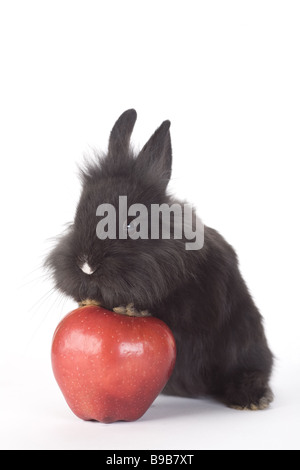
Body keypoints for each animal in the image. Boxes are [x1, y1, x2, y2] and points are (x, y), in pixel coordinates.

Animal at [45, 110, 274, 412]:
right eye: (76, 217)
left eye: (131, 225)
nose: (86, 266)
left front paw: (130, 308)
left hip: (244, 339)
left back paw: (252, 399)